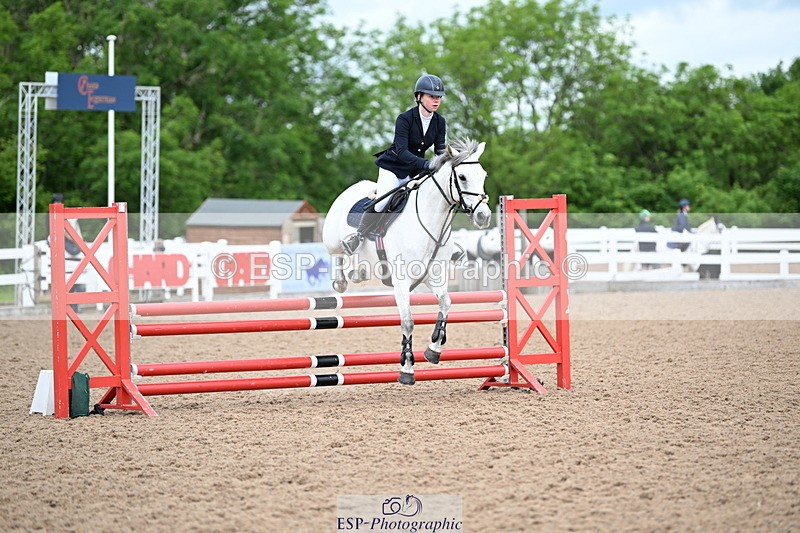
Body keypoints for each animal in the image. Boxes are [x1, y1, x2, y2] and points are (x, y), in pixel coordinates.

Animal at [322, 138, 492, 385]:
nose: (483, 216)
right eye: (462, 177)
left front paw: (434, 349)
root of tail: (351, 189)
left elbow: (446, 303)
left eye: (483, 175)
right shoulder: (401, 283)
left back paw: (358, 273)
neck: (431, 223)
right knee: (338, 257)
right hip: (333, 242)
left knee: (357, 265)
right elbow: (408, 322)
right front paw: (407, 368)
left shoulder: (434, 277)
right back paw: (343, 275)